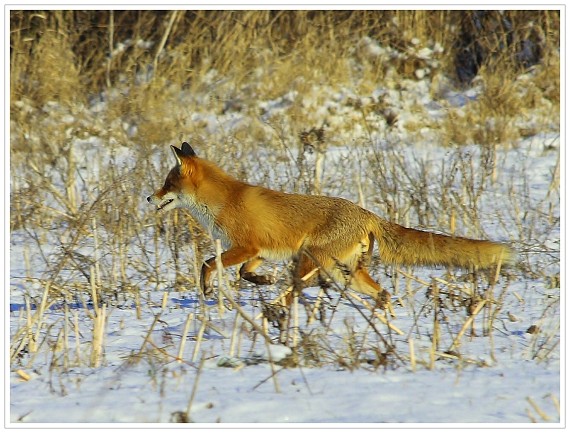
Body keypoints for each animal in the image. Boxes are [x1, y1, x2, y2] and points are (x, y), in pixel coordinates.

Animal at [146, 143, 510, 308]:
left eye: (166, 184)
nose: (149, 198)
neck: (223, 199)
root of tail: (367, 213)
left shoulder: (246, 246)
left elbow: (209, 264)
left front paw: (207, 289)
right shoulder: (260, 251)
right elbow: (244, 273)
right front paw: (262, 281)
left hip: (312, 260)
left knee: (293, 294)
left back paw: (276, 314)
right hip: (342, 271)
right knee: (383, 293)